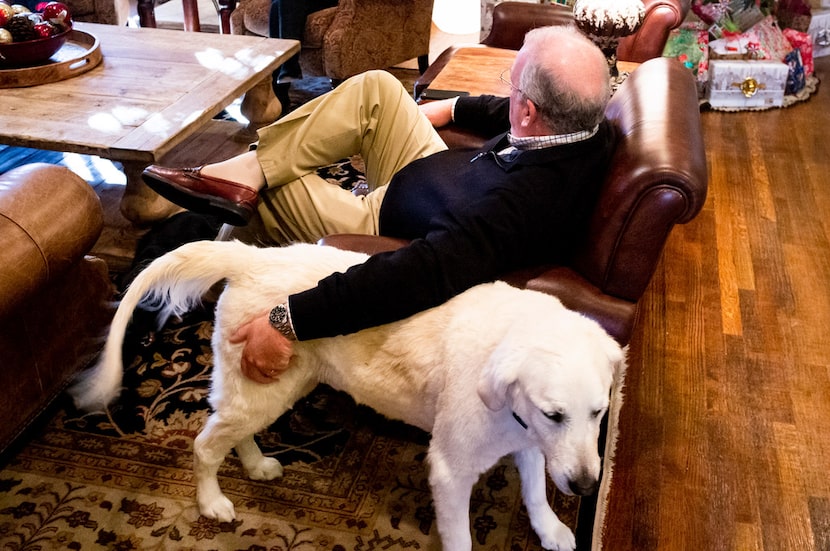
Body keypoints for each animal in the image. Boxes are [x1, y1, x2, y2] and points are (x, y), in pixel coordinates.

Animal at [71, 243, 624, 551]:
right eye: (554, 413)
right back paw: (212, 502)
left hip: (274, 385)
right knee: (205, 446)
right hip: (262, 390)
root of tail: (253, 255)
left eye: (599, 413)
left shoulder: (530, 442)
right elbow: (462, 536)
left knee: (231, 431)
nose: (584, 487)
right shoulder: (452, 468)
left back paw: (256, 465)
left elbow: (535, 491)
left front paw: (551, 529)